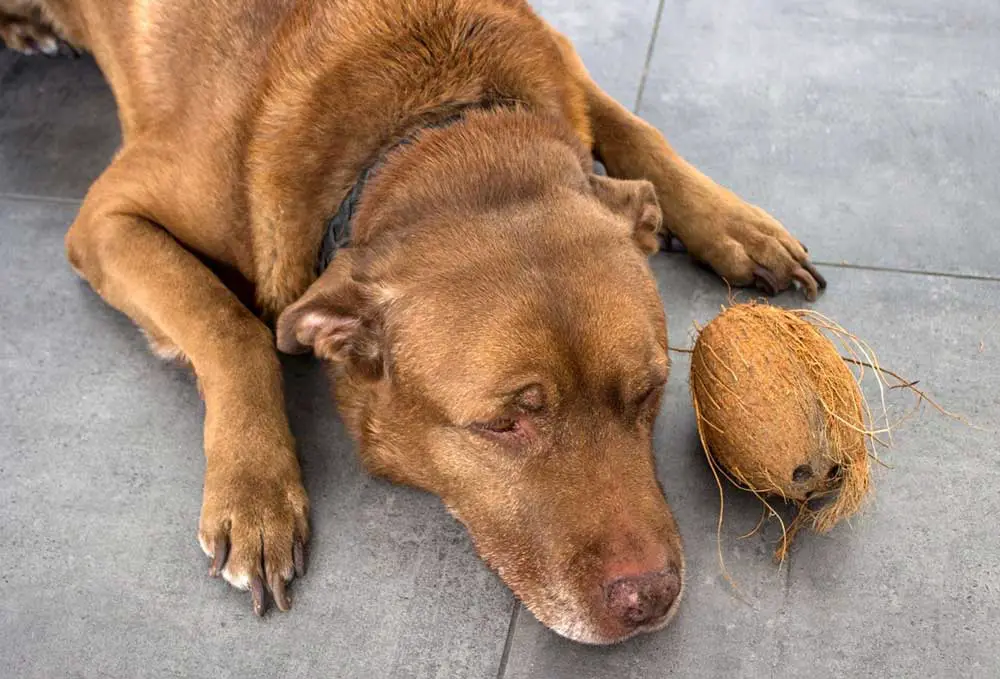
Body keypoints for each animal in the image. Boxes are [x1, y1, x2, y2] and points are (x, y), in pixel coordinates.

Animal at [3, 0, 824, 644]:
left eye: (651, 391)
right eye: (502, 424)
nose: (650, 599)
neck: (433, 124)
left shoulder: (562, 63)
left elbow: (637, 130)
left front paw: (734, 225)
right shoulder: (105, 219)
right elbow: (231, 324)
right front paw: (255, 486)